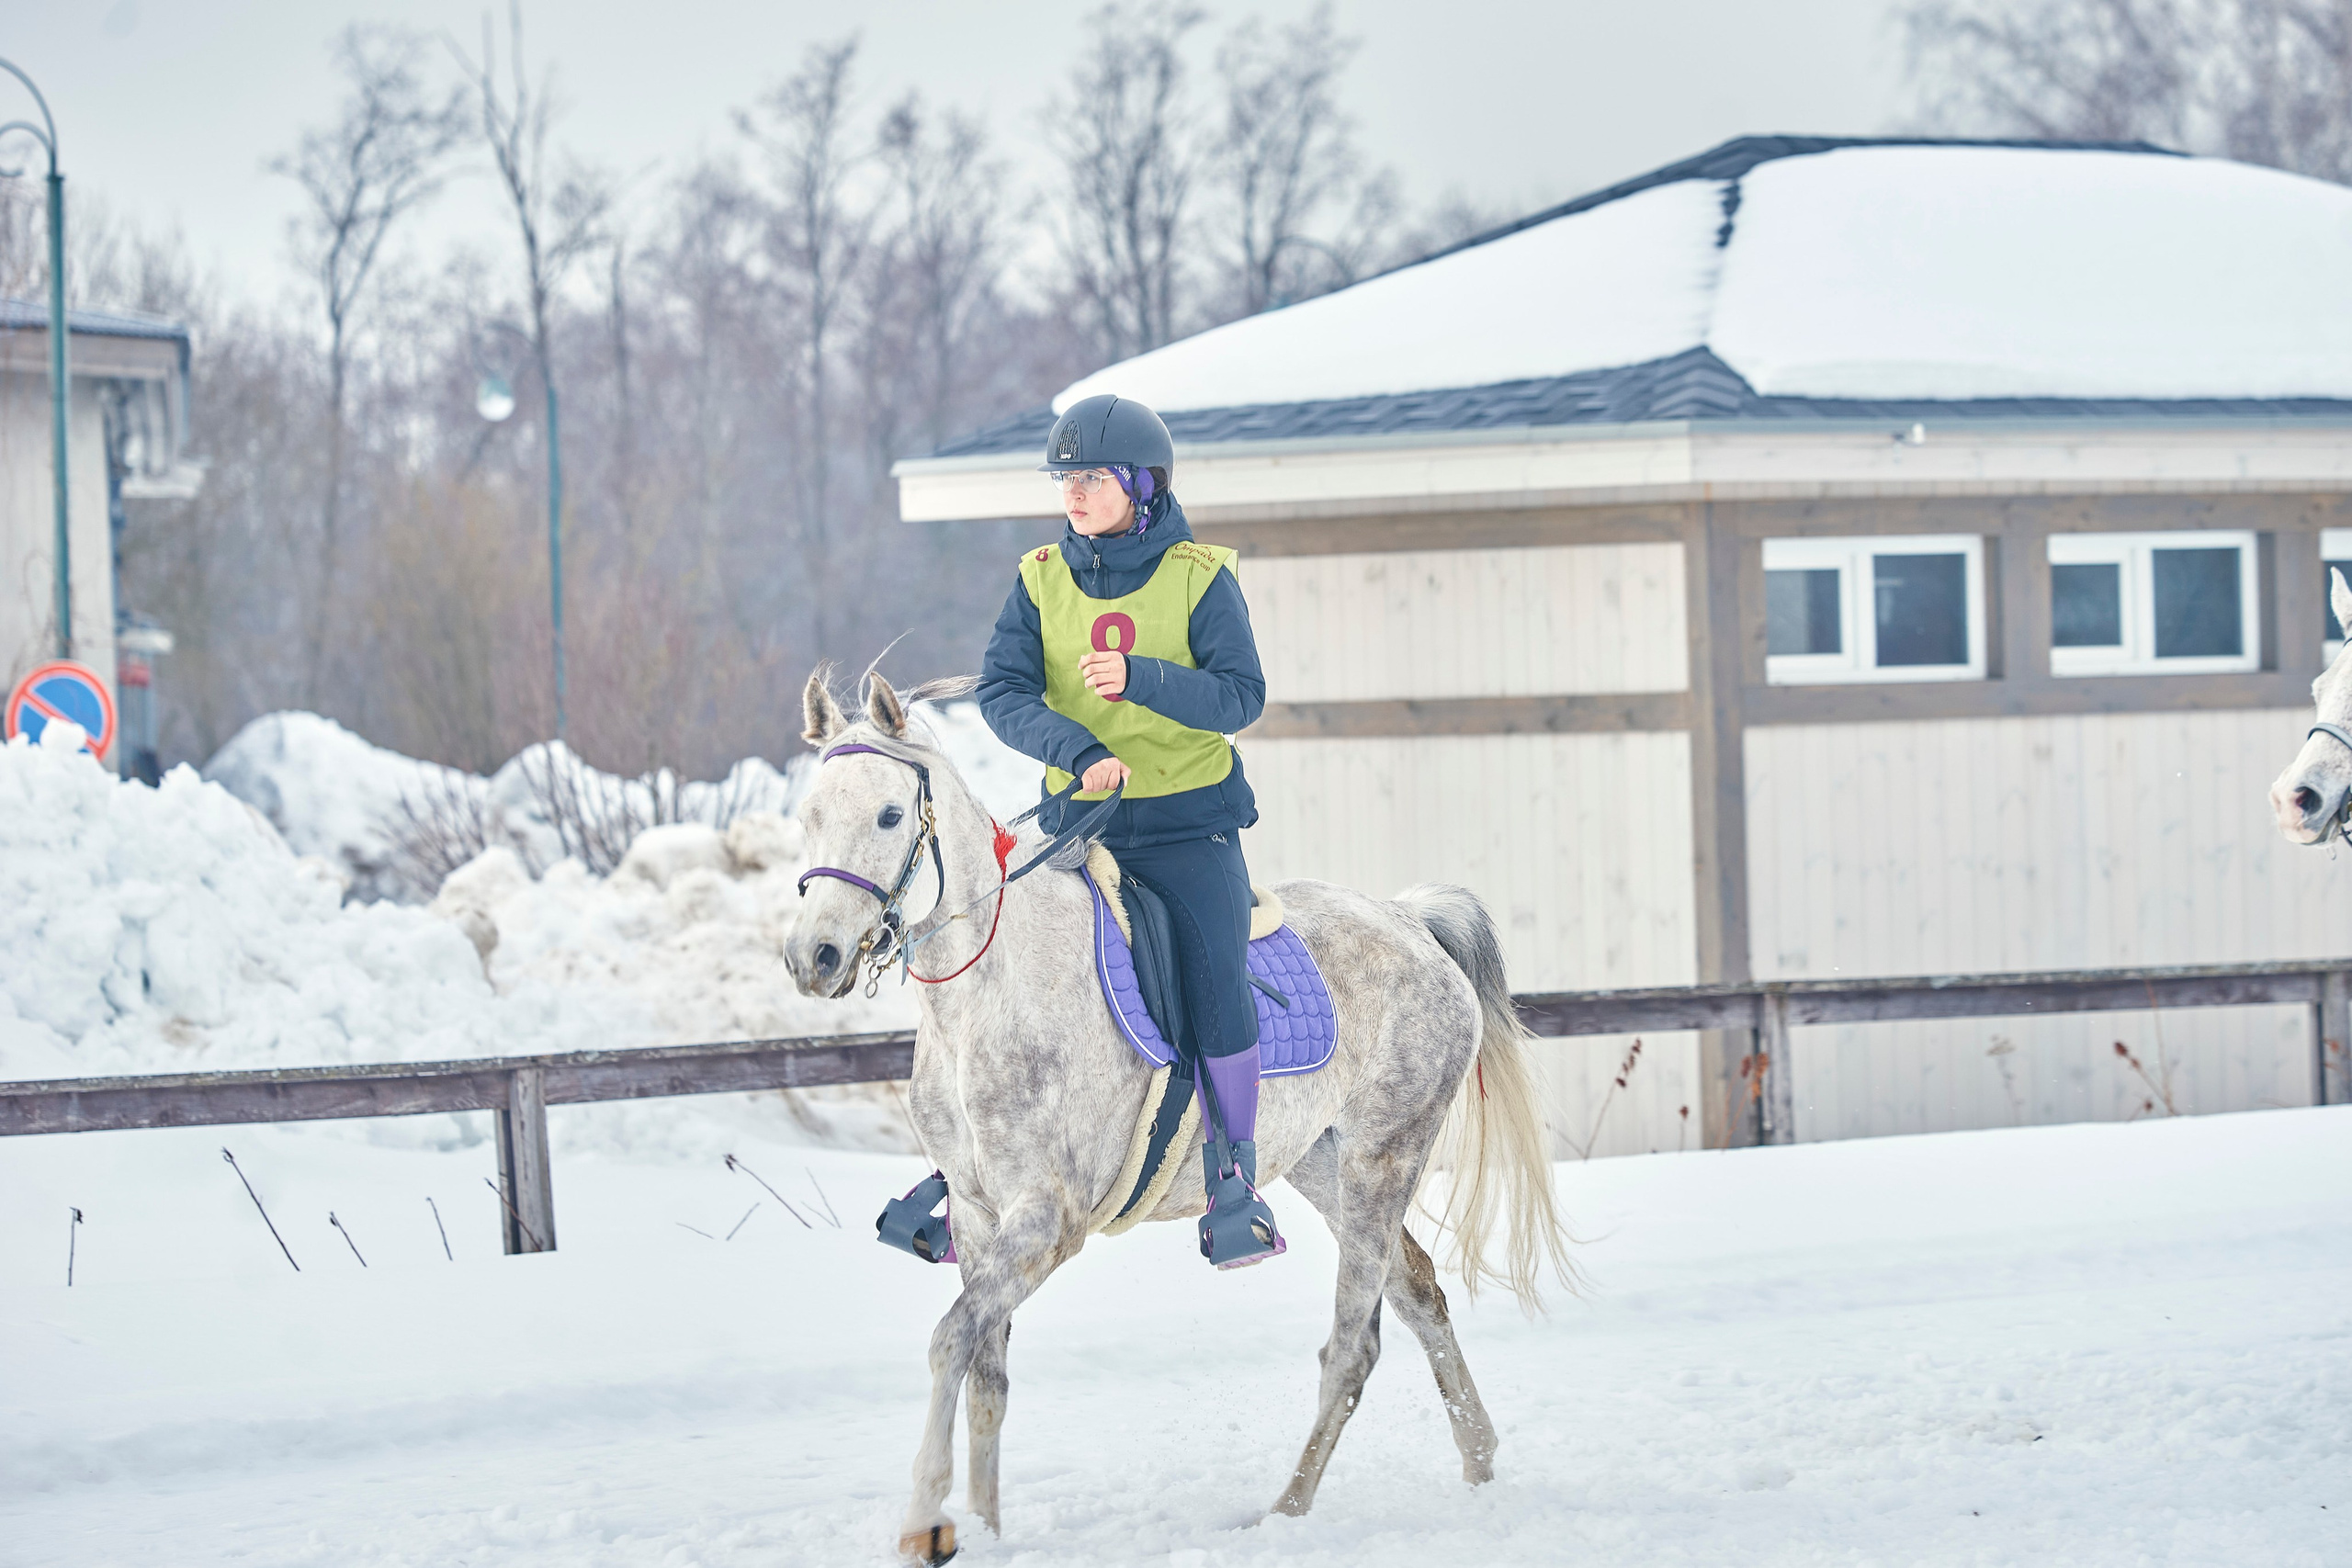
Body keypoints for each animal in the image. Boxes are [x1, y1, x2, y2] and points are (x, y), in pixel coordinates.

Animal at [782, 670, 1573, 1564]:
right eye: (809, 815)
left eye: (888, 815)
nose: (814, 958)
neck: (986, 998)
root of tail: (1410, 919)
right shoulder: (983, 1221)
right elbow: (987, 1371)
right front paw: (984, 1525)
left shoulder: (1045, 1222)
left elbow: (950, 1339)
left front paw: (927, 1519)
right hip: (1324, 1164)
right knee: (1419, 1294)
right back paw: (1479, 1462)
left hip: (1384, 1158)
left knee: (1354, 1344)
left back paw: (1284, 1513)